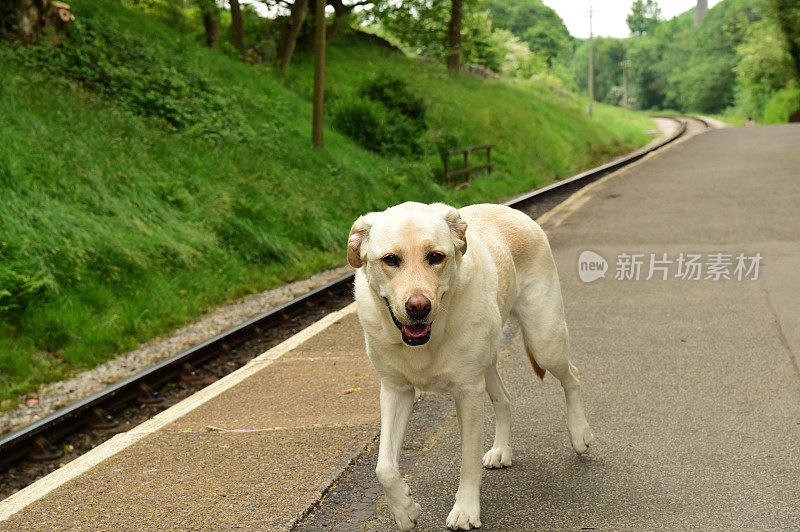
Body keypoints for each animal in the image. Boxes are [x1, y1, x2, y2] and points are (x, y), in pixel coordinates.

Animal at [346, 202, 592, 528]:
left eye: (436, 257)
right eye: (390, 260)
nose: (418, 307)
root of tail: (512, 211)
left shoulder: (468, 394)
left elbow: (467, 459)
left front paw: (465, 509)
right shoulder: (395, 391)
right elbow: (384, 467)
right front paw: (404, 510)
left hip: (544, 341)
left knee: (572, 377)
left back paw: (580, 434)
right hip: (489, 360)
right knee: (504, 398)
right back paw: (501, 450)